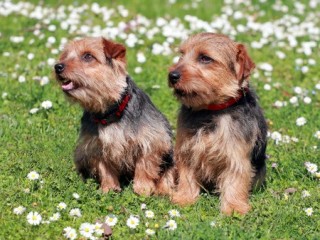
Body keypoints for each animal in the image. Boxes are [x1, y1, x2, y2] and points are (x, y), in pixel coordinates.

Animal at [55, 36, 175, 196]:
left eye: (88, 56)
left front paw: (142, 189)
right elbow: (105, 168)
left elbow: (144, 166)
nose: (57, 66)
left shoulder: (152, 141)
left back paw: (163, 191)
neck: (109, 114)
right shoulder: (97, 147)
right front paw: (109, 189)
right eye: (65, 55)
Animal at [168, 32, 268, 215]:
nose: (172, 75)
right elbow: (187, 176)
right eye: (181, 55)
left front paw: (234, 208)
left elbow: (235, 181)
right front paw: (184, 198)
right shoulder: (187, 150)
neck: (211, 110)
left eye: (205, 58)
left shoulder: (236, 155)